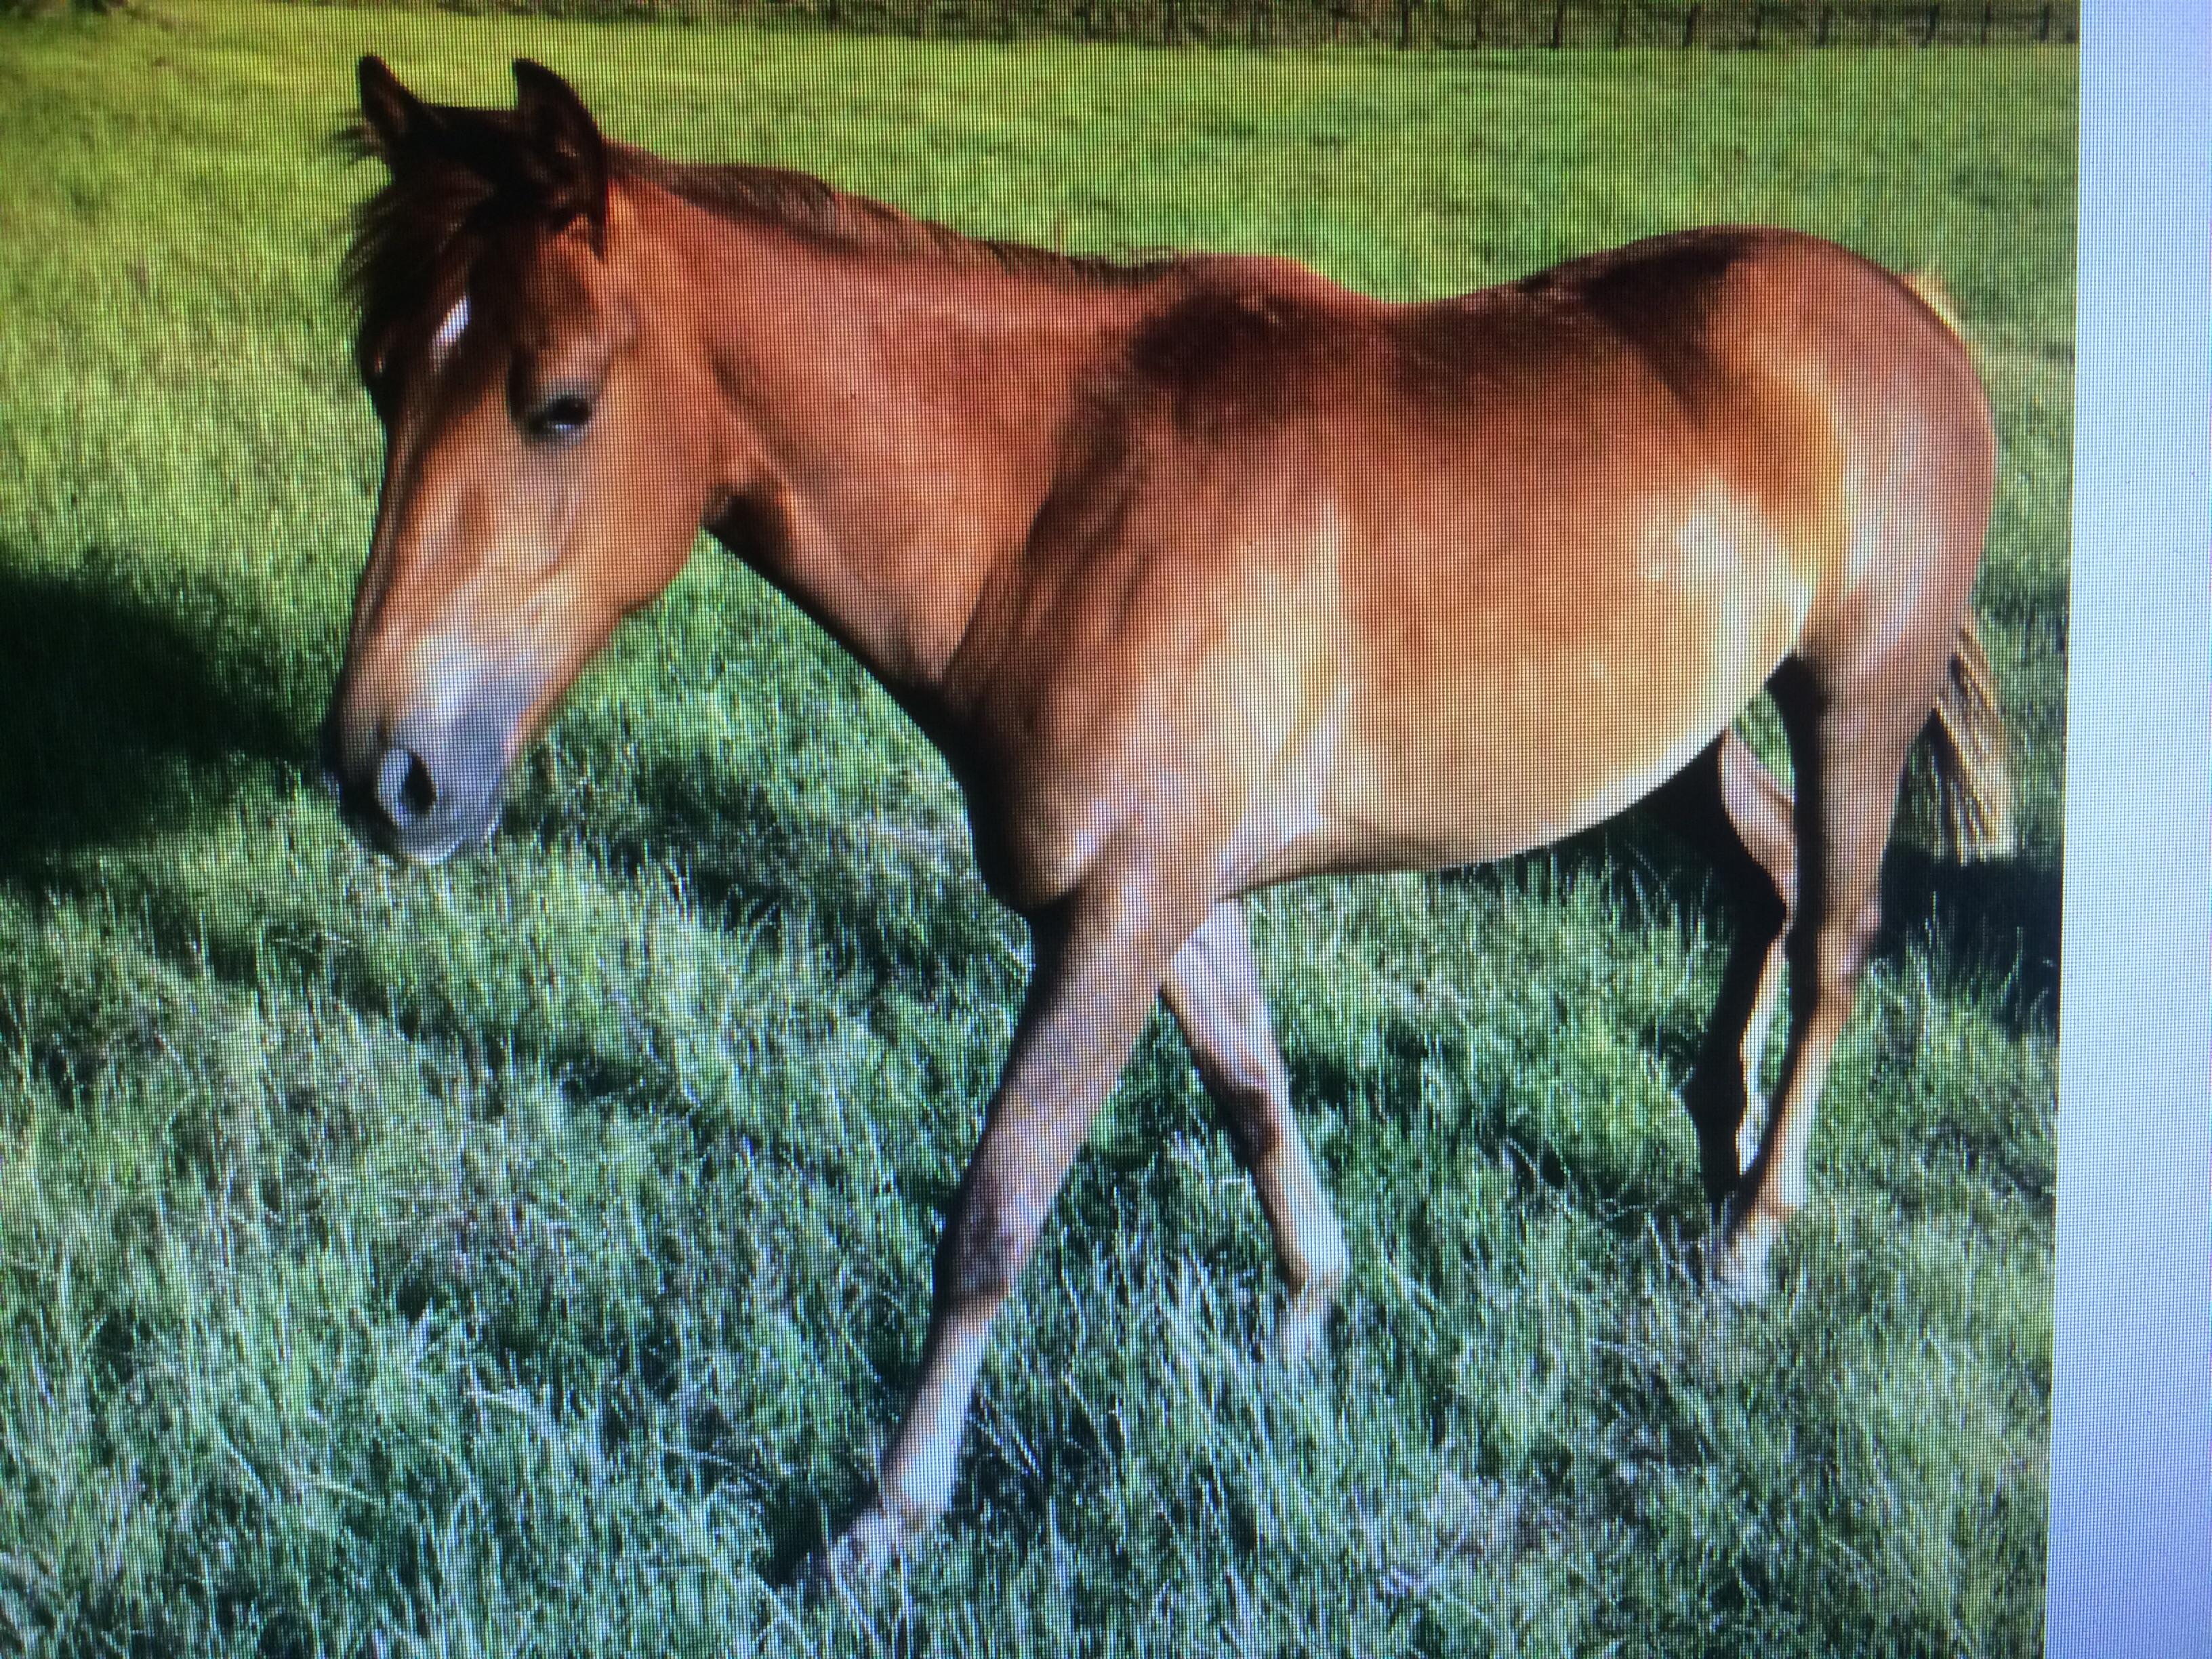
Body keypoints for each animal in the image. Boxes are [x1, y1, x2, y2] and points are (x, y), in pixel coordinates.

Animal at [318, 56, 2014, 1577]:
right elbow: (1256, 1094)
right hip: (1679, 738)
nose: (385, 773)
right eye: (382, 376)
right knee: (1772, 883)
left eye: (559, 405)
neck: (1053, 495)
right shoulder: (1177, 902)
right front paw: (1310, 1316)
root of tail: (1909, 307)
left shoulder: (1116, 917)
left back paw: (1756, 1227)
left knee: (1840, 938)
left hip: (1852, 706)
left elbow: (996, 1212)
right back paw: (1719, 1137)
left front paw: (889, 1520)